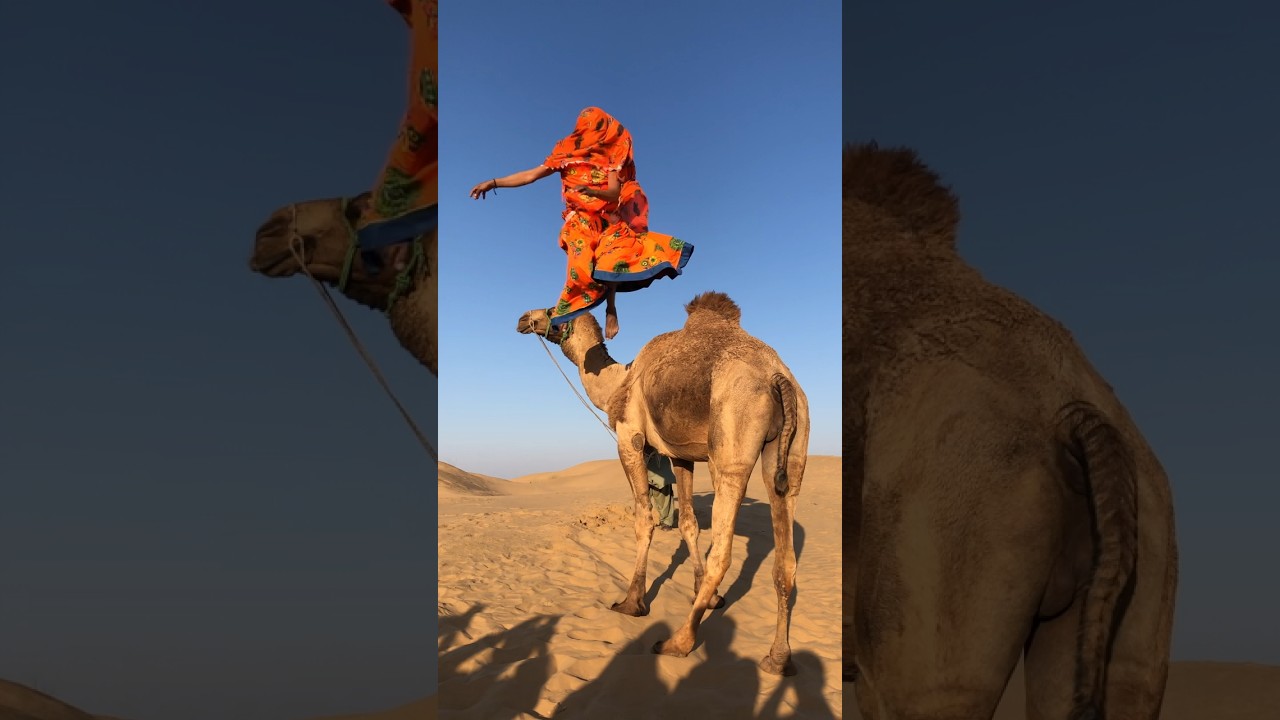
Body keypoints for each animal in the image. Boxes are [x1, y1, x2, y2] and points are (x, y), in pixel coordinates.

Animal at [517, 293, 810, 675]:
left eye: (554, 308)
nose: (524, 318)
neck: (618, 382)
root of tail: (778, 376)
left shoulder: (630, 439)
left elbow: (645, 519)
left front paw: (632, 602)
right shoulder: (681, 455)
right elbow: (688, 523)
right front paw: (709, 597)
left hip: (732, 443)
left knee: (723, 553)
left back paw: (677, 642)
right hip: (791, 452)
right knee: (785, 560)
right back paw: (778, 659)